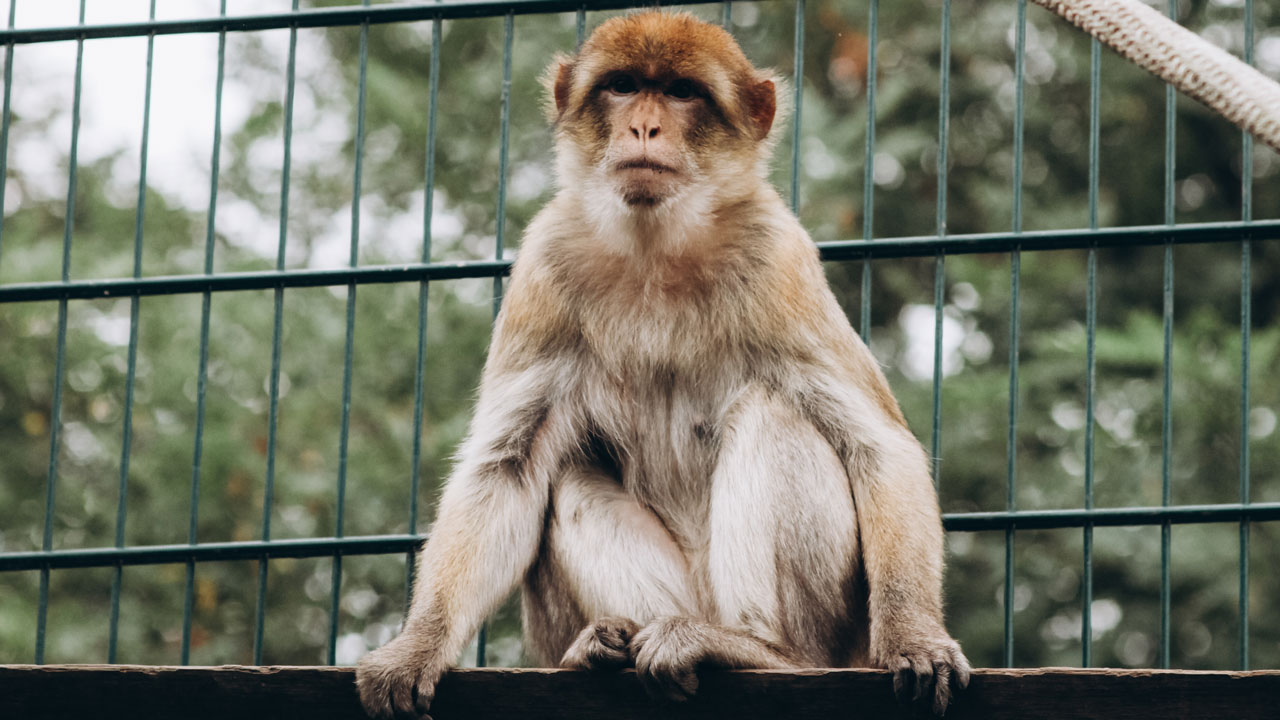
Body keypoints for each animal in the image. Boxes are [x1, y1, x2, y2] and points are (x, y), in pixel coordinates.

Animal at [350, 12, 967, 717]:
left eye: (681, 92)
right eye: (622, 86)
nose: (643, 127)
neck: (654, 247)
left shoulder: (778, 259)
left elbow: (878, 446)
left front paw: (914, 633)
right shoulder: (544, 266)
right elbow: (506, 467)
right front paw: (419, 644)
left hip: (823, 629)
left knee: (772, 413)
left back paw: (756, 649)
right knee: (564, 472)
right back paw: (607, 645)